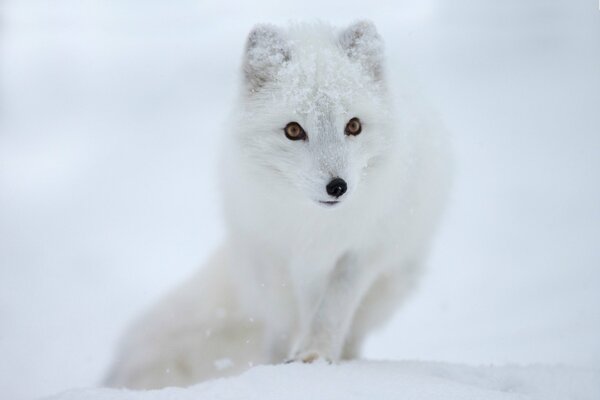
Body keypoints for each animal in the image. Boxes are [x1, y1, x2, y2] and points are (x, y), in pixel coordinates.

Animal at [105, 20, 450, 390]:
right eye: (294, 130)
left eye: (354, 125)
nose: (337, 187)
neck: (315, 226)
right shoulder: (277, 255)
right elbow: (287, 323)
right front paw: (277, 369)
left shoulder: (361, 252)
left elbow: (332, 310)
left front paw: (315, 355)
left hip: (392, 281)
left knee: (352, 331)